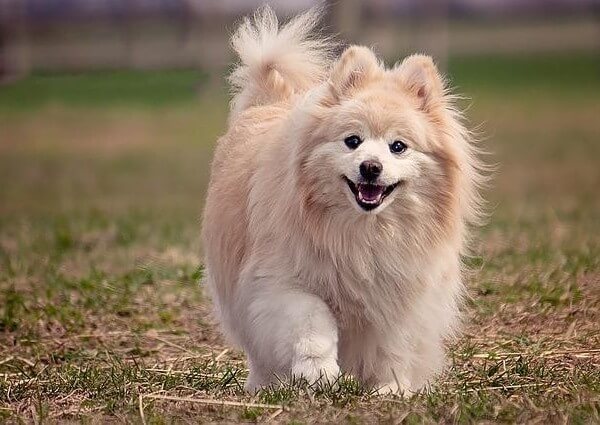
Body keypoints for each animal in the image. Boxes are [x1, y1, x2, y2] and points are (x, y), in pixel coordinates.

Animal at [204, 6, 486, 392]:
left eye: (398, 146)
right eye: (352, 141)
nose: (370, 167)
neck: (364, 232)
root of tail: (269, 100)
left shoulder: (401, 294)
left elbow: (393, 345)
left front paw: (392, 389)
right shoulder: (283, 282)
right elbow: (313, 323)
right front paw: (318, 372)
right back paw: (265, 385)